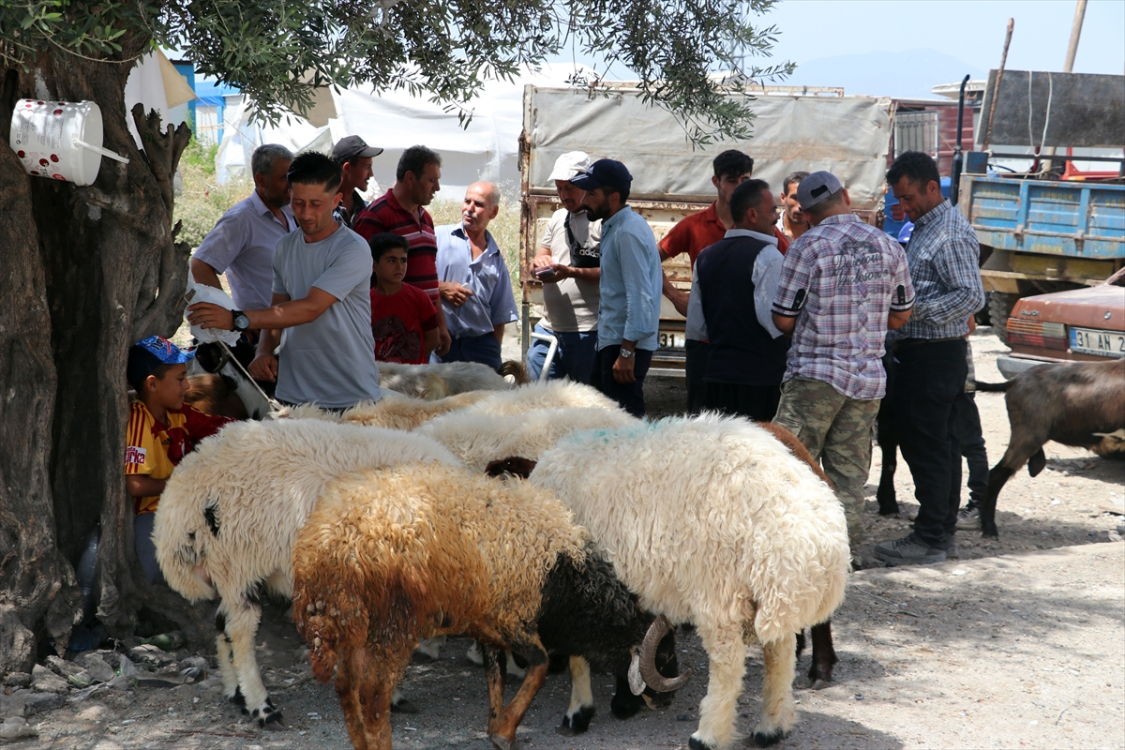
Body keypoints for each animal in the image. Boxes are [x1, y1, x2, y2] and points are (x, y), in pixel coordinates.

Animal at [150, 416, 456, 728]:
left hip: (228, 570)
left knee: (222, 624)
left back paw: (236, 694)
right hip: (238, 561)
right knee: (239, 632)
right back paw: (262, 706)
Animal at [522, 416, 846, 750]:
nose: (664, 701)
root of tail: (809, 534)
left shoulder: (576, 593)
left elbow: (579, 658)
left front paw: (579, 712)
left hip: (719, 590)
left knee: (729, 663)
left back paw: (707, 735)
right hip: (765, 596)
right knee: (780, 655)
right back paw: (770, 728)